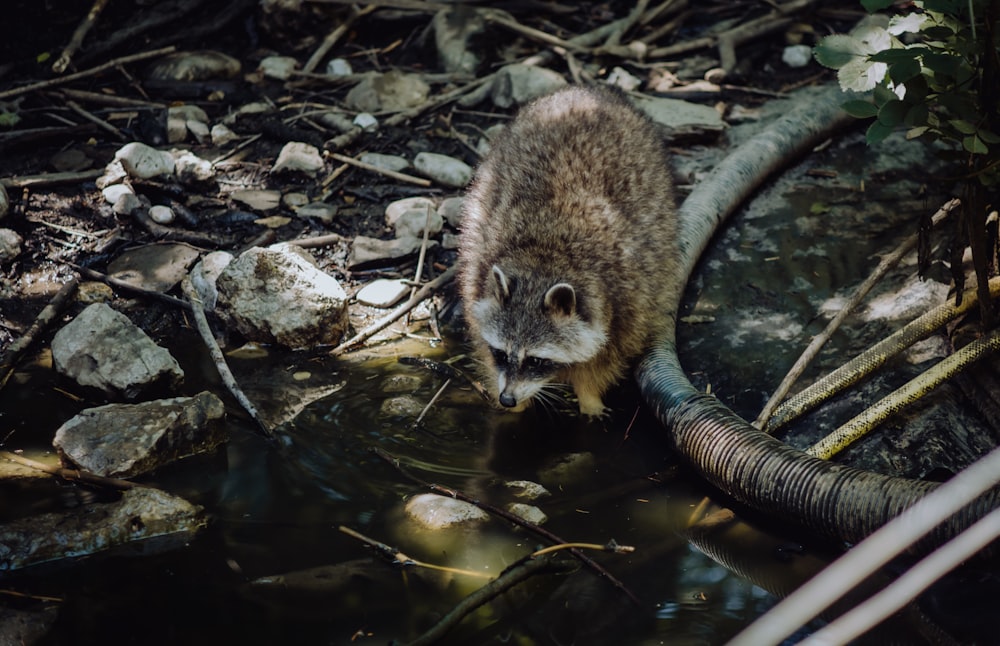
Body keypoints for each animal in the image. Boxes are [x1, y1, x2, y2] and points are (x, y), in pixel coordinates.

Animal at [458, 85, 680, 420]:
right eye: (501, 353)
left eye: (536, 360)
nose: (507, 398)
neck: (546, 257)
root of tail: (583, 91)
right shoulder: (479, 271)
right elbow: (480, 335)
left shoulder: (628, 301)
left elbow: (606, 358)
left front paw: (589, 395)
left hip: (659, 205)